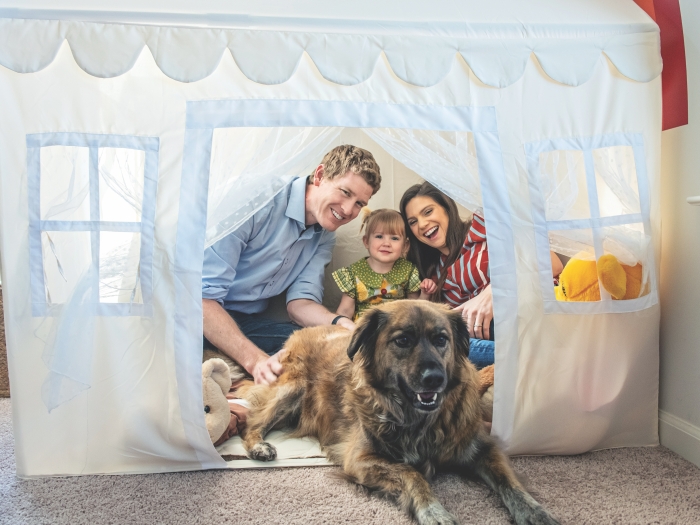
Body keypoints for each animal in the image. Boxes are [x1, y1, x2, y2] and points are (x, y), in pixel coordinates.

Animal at [241, 298, 556, 524]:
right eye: (402, 340)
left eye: (441, 339)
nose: (435, 379)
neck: (421, 421)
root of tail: (304, 330)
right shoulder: (361, 459)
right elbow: (411, 472)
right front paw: (434, 512)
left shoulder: (481, 447)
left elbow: (510, 483)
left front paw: (535, 512)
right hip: (292, 390)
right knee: (253, 421)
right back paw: (258, 445)